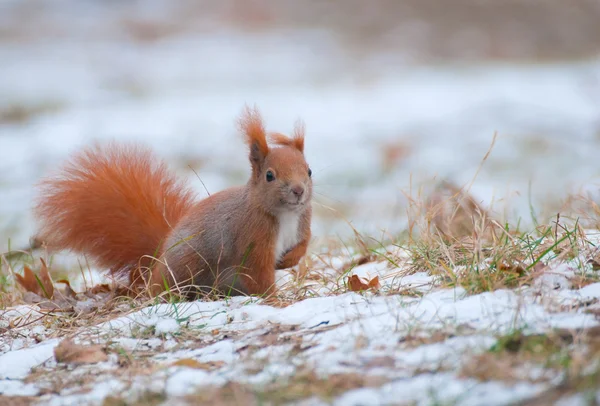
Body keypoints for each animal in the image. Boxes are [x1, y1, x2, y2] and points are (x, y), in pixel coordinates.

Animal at [33, 106, 312, 300]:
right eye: (269, 176)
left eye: (309, 170)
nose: (298, 191)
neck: (285, 215)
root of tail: (156, 262)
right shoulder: (251, 239)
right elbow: (258, 274)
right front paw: (275, 300)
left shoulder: (302, 223)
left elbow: (302, 247)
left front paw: (287, 262)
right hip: (188, 264)